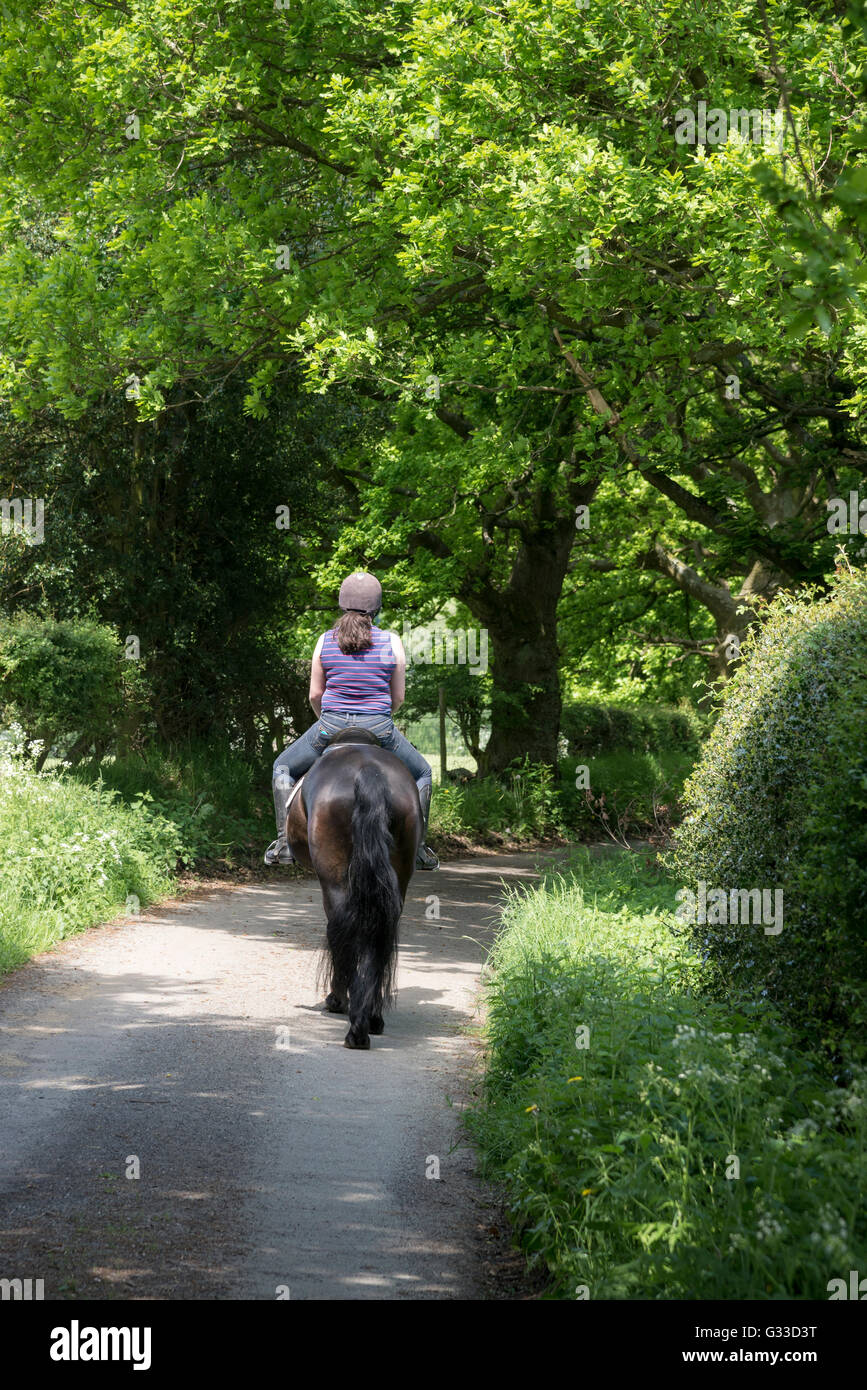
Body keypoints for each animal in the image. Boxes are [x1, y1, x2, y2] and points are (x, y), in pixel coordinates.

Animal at [284, 733, 422, 1045]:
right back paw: (371, 1018)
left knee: (341, 927)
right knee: (380, 931)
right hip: (397, 878)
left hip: (335, 880)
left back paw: (348, 1015)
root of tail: (369, 771)